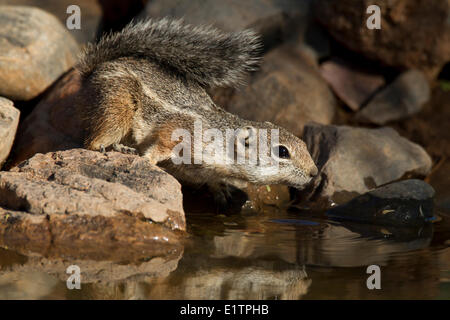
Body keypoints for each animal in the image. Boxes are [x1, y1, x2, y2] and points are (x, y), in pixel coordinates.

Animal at [74, 16, 316, 205]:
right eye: (282, 152)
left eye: (304, 144)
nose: (314, 173)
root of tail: (93, 70)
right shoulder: (178, 130)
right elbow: (159, 146)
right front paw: (148, 162)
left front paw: (221, 190)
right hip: (117, 107)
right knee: (93, 141)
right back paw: (115, 147)